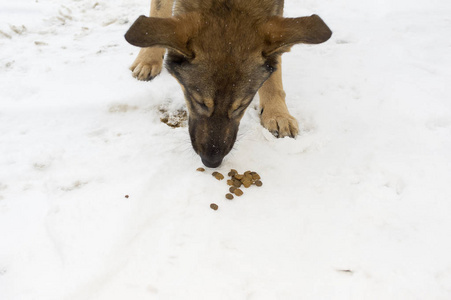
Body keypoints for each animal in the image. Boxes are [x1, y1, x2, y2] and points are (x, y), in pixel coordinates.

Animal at [124, 0, 332, 166]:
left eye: (241, 106)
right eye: (199, 102)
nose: (211, 162)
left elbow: (275, 68)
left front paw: (277, 113)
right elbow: (159, 10)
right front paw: (149, 57)